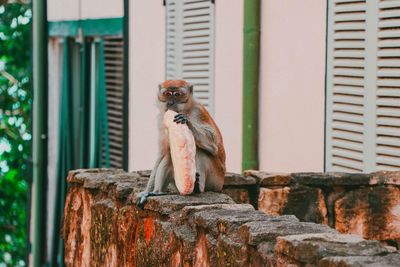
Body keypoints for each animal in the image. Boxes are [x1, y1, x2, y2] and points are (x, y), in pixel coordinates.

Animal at [137, 79, 225, 207]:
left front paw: (187, 122)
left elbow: (213, 144)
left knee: (200, 152)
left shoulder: (198, 112)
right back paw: (158, 192)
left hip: (216, 179)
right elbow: (162, 155)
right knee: (169, 155)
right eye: (167, 94)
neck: (185, 110)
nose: (170, 103)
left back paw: (197, 188)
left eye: (177, 94)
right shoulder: (162, 121)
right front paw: (146, 191)